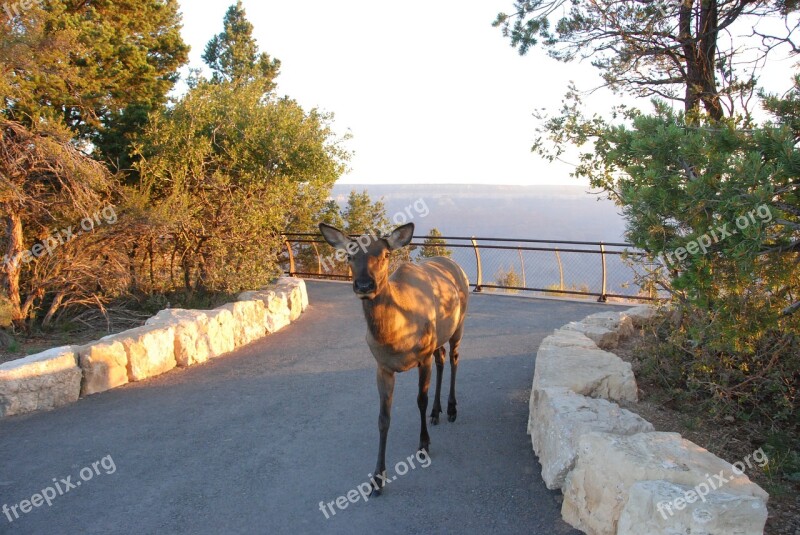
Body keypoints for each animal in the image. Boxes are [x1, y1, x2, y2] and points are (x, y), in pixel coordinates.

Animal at [318, 223, 468, 498]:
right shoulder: (383, 367)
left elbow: (420, 400)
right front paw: (377, 478)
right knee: (442, 358)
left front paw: (424, 445)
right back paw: (437, 412)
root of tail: (455, 265)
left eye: (385, 255)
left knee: (454, 358)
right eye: (349, 255)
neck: (395, 337)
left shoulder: (422, 357)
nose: (364, 284)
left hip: (458, 324)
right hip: (438, 337)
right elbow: (383, 419)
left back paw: (451, 409)